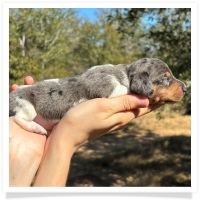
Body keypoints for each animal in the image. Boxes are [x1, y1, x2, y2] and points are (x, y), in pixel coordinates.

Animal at [9, 57, 187, 134]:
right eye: (165, 77)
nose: (186, 88)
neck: (125, 72)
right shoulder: (109, 87)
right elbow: (125, 89)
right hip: (26, 106)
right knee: (18, 119)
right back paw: (37, 128)